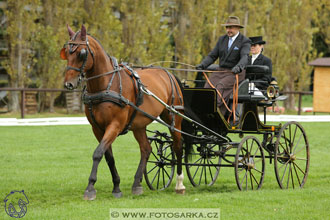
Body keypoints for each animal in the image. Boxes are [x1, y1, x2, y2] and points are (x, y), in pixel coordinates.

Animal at [60, 24, 186, 200]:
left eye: (81, 53)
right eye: (66, 52)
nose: (69, 84)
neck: (106, 85)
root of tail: (168, 73)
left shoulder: (115, 125)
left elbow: (98, 153)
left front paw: (90, 188)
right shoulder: (97, 128)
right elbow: (108, 157)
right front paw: (116, 187)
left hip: (173, 118)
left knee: (178, 146)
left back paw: (180, 184)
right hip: (139, 124)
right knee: (146, 149)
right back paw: (137, 184)